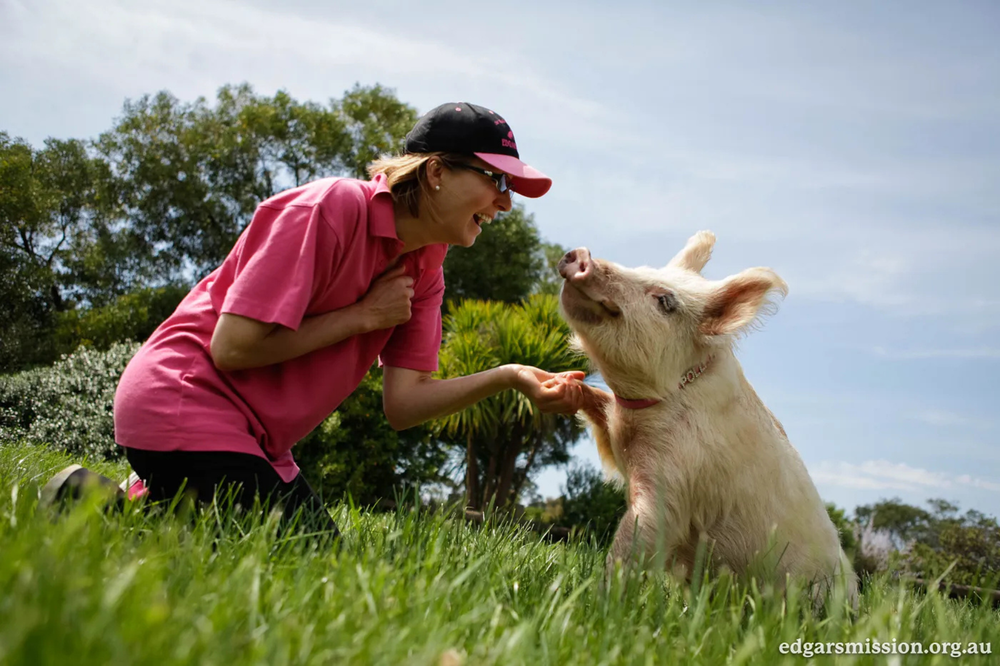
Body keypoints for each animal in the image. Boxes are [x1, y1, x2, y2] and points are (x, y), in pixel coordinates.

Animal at [557, 231, 857, 606]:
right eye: (641, 267)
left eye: (665, 300)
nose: (581, 254)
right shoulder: (618, 434)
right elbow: (599, 404)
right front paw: (563, 385)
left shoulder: (674, 480)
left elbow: (635, 538)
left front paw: (597, 604)